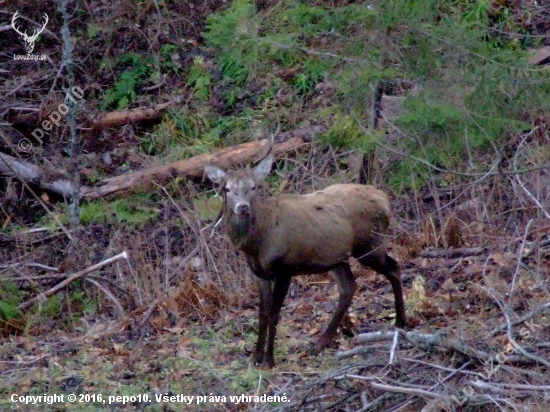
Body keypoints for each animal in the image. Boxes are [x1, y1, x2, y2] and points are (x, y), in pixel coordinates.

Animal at [205, 142, 408, 366]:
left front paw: (269, 359)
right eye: (227, 188)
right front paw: (255, 357)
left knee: (394, 267)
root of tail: (384, 199)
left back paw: (401, 322)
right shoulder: (259, 274)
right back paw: (321, 343)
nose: (242, 207)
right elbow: (262, 314)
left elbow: (275, 314)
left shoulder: (284, 269)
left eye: (253, 187)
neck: (257, 245)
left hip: (370, 244)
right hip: (337, 257)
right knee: (349, 286)